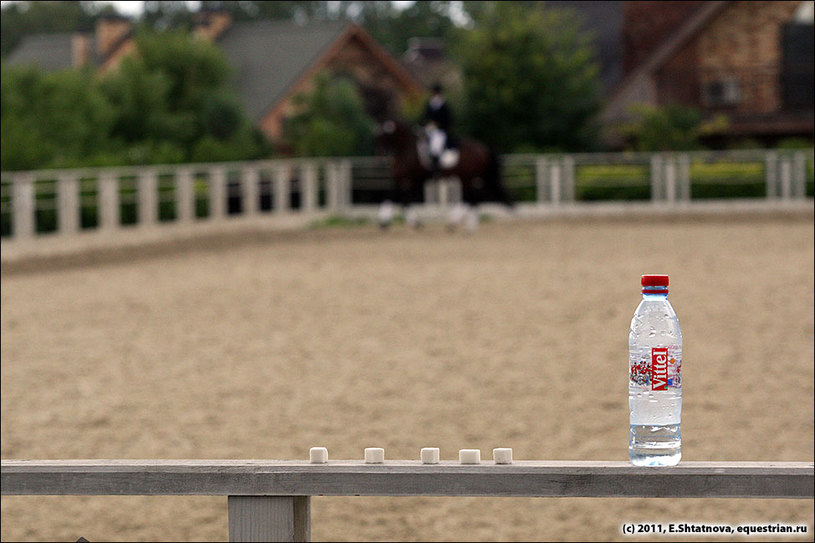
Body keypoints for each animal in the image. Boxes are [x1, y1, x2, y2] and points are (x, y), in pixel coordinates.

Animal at [374, 118, 510, 231]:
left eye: (384, 137)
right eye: (378, 137)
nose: (382, 157)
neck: (407, 149)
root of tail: (482, 147)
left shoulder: (405, 178)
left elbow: (393, 195)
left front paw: (384, 221)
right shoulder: (411, 180)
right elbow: (403, 200)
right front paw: (414, 222)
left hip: (468, 177)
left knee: (470, 199)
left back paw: (461, 225)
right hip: (467, 178)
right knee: (472, 198)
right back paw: (461, 225)